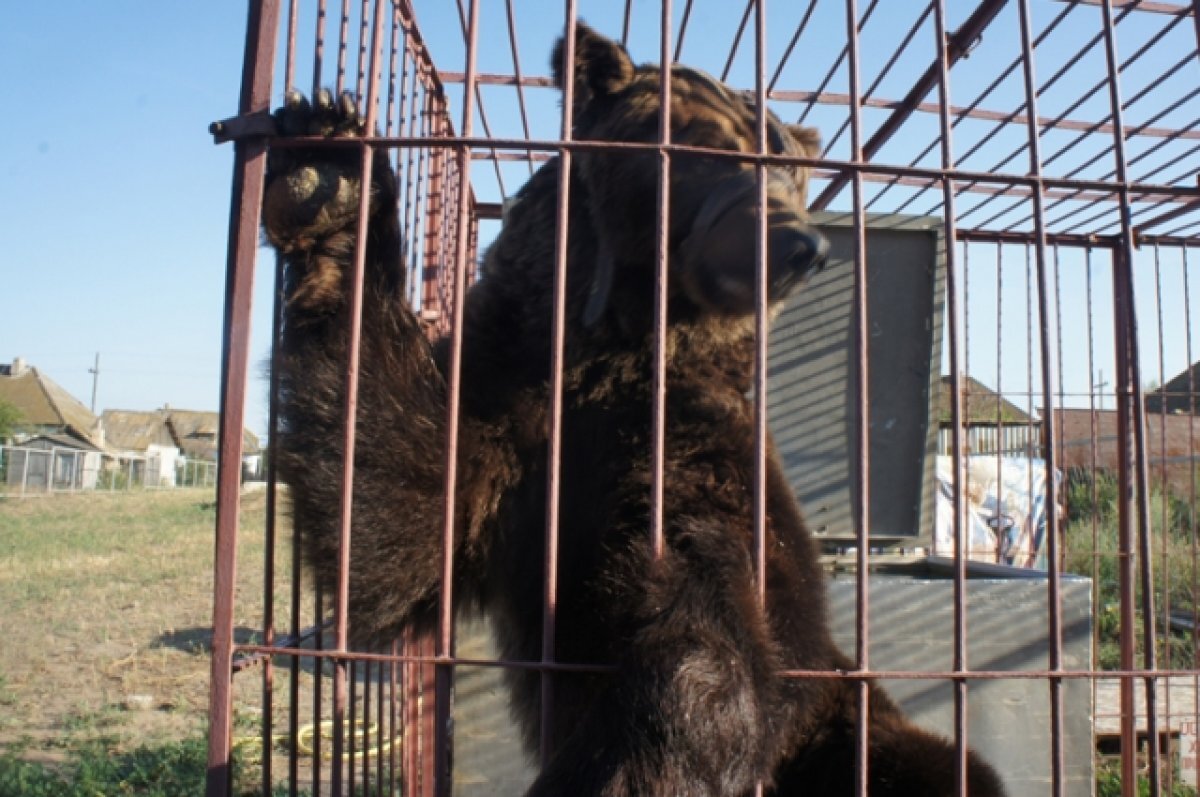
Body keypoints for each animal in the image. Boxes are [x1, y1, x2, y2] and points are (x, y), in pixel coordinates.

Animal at [260, 21, 1003, 792]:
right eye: (715, 150)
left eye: (788, 170)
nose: (800, 246)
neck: (612, 353)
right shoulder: (508, 399)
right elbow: (395, 509)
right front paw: (328, 173)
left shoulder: (693, 444)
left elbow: (710, 618)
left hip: (840, 712)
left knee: (931, 760)